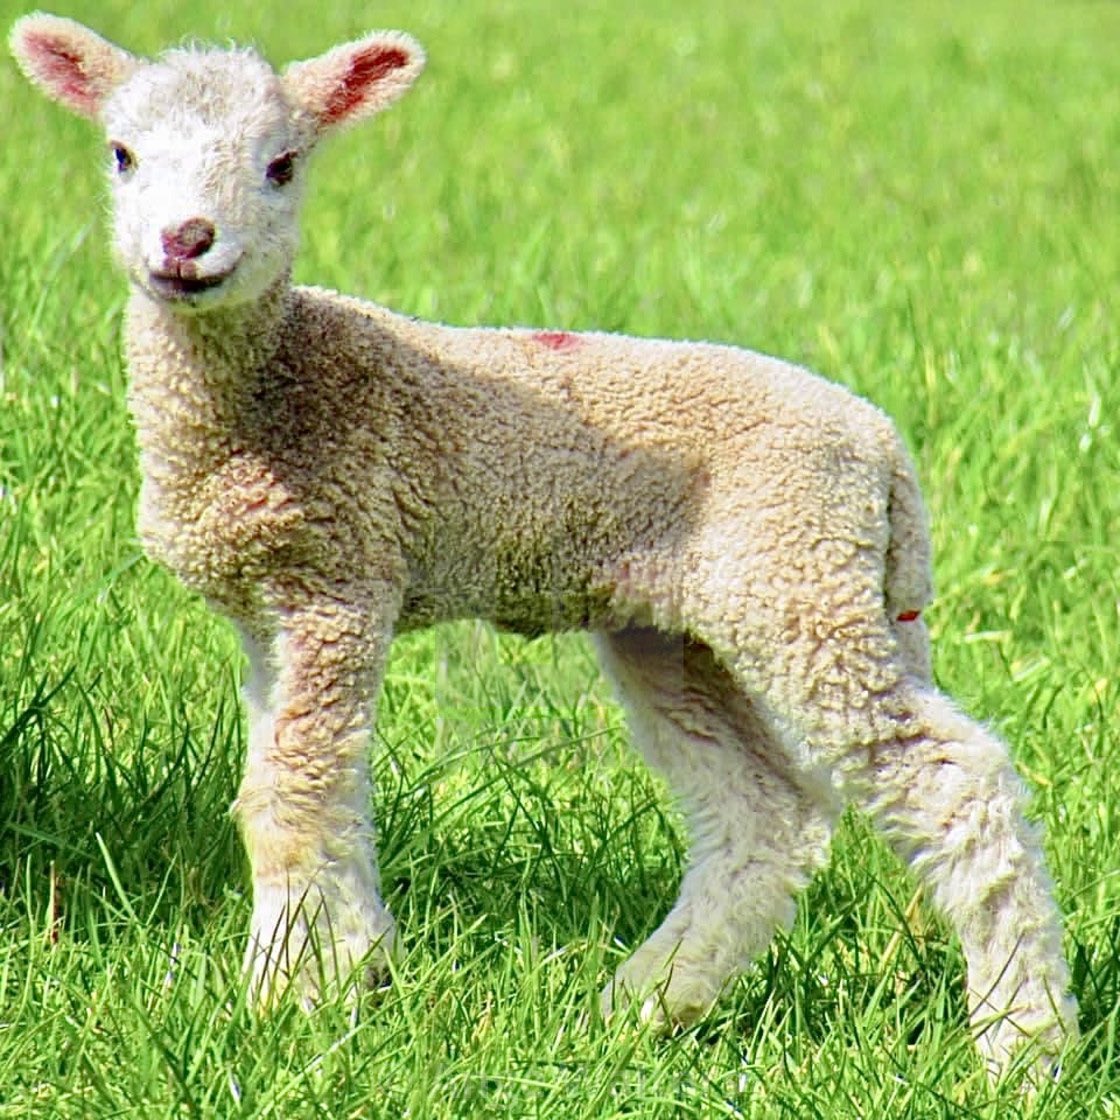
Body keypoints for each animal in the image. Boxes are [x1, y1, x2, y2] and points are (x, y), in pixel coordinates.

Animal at [8, 8, 1075, 1075]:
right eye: (121, 154)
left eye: (282, 164)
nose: (186, 242)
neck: (275, 390)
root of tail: (883, 446)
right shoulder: (272, 609)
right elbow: (311, 792)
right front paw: (343, 971)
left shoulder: (341, 573)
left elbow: (290, 797)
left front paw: (290, 1003)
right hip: (688, 621)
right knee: (764, 814)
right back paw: (644, 1007)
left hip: (799, 577)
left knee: (960, 784)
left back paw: (1024, 1045)